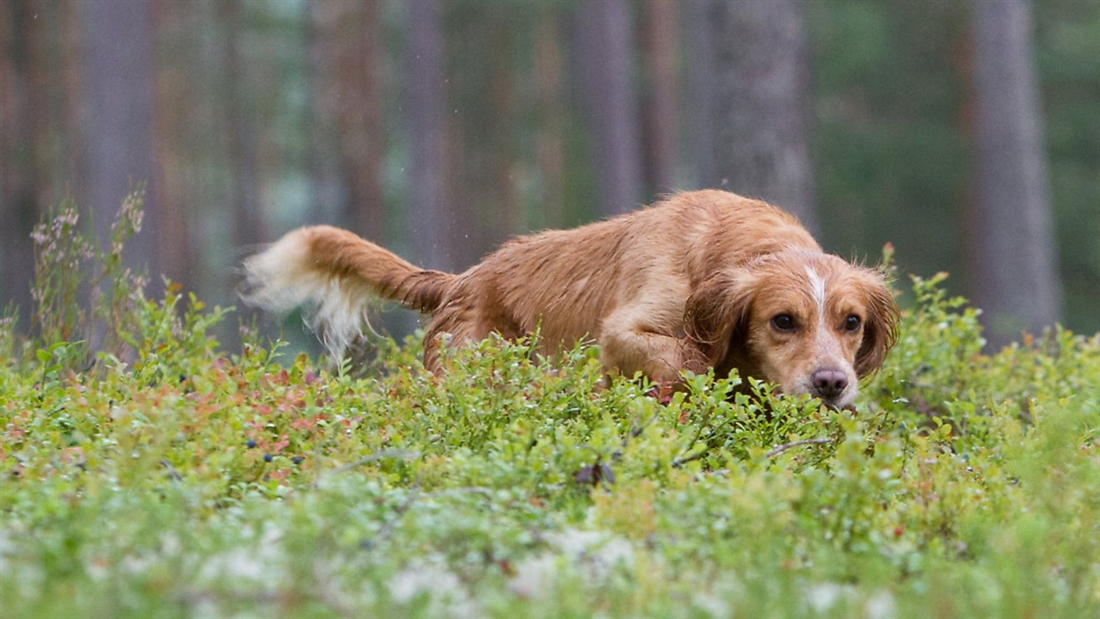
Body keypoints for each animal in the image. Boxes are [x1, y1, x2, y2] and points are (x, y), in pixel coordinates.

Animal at [240, 191, 893, 409]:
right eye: (783, 320)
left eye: (851, 322)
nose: (832, 383)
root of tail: (460, 281)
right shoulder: (624, 330)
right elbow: (685, 358)